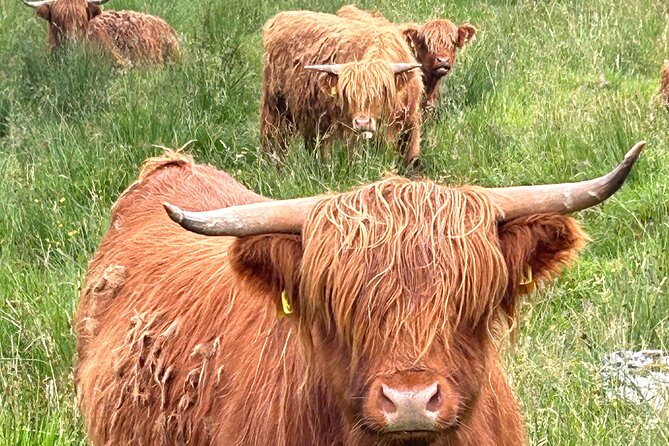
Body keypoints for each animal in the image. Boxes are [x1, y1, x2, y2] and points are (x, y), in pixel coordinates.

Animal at [261, 11, 423, 166]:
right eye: (348, 94)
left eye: (381, 91)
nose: (363, 123)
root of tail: (282, 16)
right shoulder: (350, 131)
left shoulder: (410, 123)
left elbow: (411, 159)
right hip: (276, 107)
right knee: (273, 141)